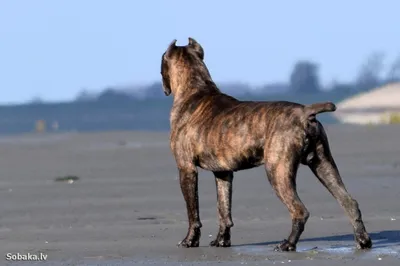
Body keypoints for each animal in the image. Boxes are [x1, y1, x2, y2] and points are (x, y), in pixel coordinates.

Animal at [159, 37, 372, 251]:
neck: (195, 88)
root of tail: (305, 112)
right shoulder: (223, 174)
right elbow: (224, 209)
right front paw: (221, 240)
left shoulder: (186, 169)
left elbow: (193, 212)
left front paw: (189, 241)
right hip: (323, 165)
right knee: (349, 202)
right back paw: (363, 240)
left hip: (277, 171)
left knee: (300, 211)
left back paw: (288, 244)